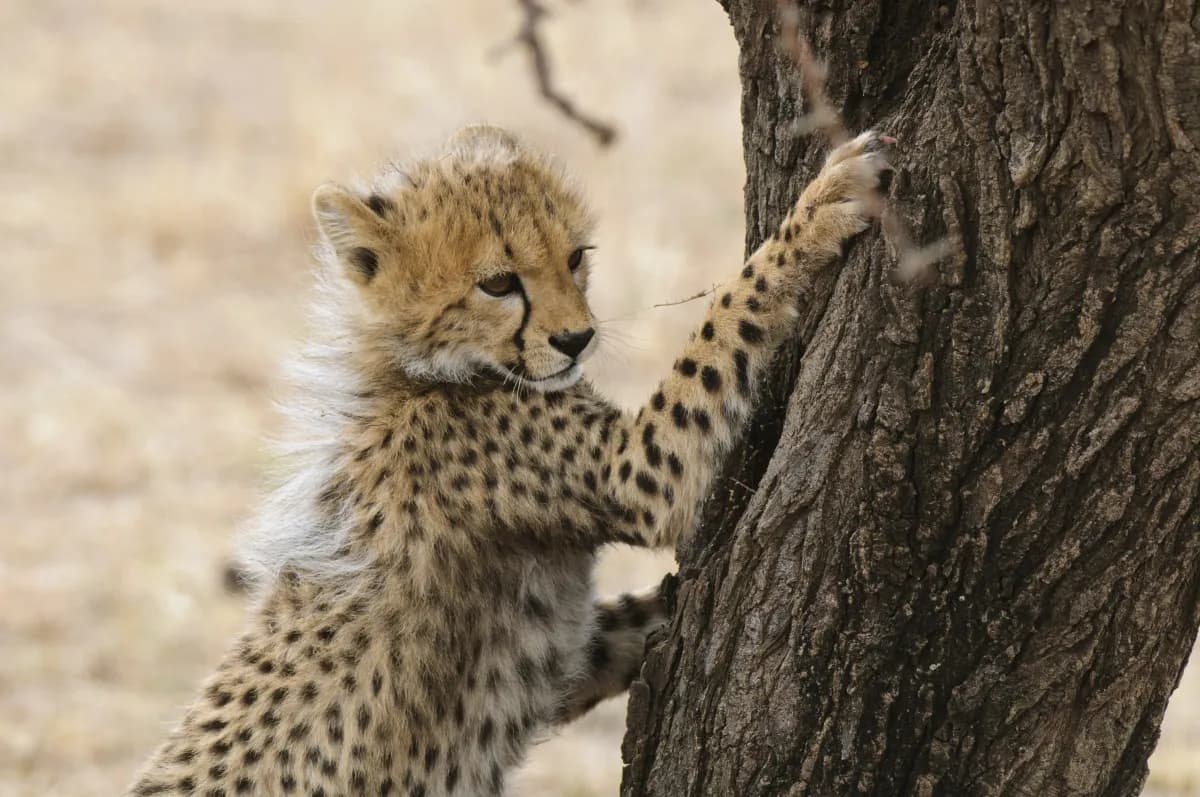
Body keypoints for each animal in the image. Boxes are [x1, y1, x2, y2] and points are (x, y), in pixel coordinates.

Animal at [126, 124, 892, 796]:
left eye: (576, 256)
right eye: (498, 283)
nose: (577, 339)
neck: (421, 374)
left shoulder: (560, 662)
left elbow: (622, 626)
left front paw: (674, 602)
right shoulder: (636, 471)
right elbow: (718, 329)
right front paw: (819, 210)